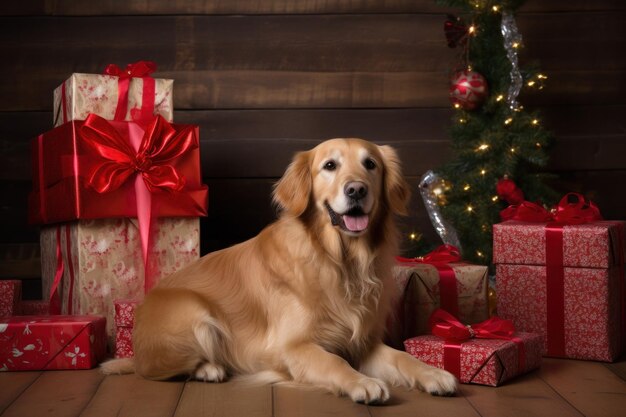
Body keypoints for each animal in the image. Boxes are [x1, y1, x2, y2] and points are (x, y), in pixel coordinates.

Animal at [101, 138, 454, 402]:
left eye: (370, 164)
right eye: (330, 166)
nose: (357, 190)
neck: (340, 261)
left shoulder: (363, 342)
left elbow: (402, 356)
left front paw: (433, 373)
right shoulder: (291, 348)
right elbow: (334, 360)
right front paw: (361, 382)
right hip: (197, 313)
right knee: (157, 369)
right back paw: (209, 369)